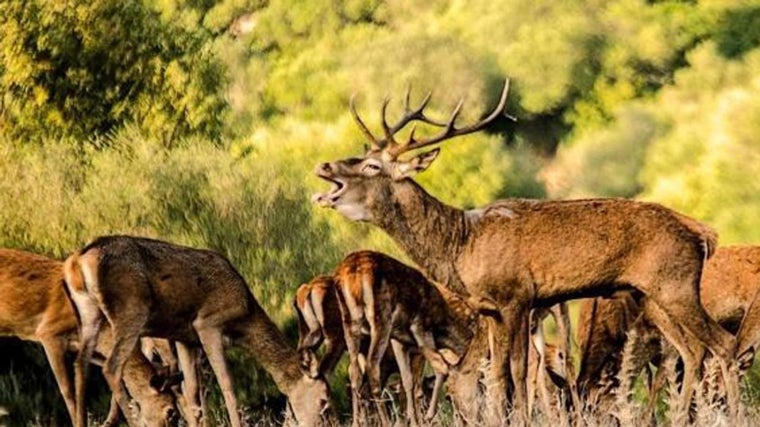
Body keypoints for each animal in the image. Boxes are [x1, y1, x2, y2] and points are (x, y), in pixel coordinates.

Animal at [67, 236, 334, 427]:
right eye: (323, 400)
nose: (329, 422)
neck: (244, 320)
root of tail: (78, 263)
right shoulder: (207, 324)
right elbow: (226, 384)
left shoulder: (185, 338)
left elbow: (193, 391)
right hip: (130, 312)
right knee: (111, 368)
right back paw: (131, 421)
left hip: (89, 315)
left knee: (80, 364)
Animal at [312, 78, 740, 422]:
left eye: (371, 167)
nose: (324, 165)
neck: (460, 247)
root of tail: (704, 234)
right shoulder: (490, 309)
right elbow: (499, 372)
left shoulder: (516, 296)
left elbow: (516, 372)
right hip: (649, 295)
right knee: (690, 350)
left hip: (676, 284)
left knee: (723, 343)